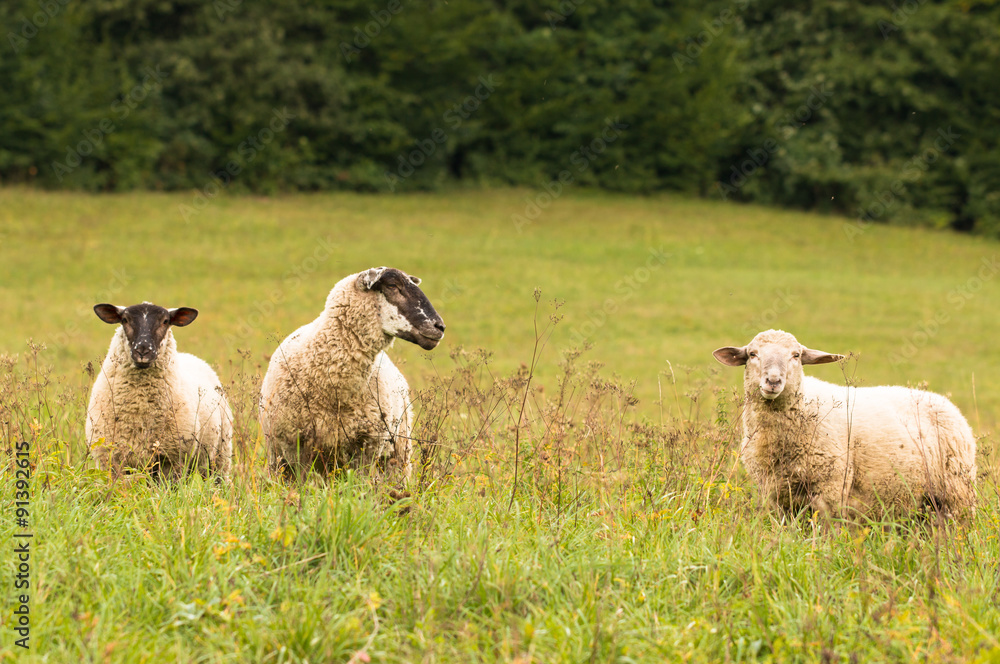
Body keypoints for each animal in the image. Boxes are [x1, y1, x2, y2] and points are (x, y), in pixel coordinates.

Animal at [85, 302, 233, 479]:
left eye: (165, 321)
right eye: (124, 320)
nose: (143, 351)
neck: (139, 406)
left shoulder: (172, 460)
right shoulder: (109, 460)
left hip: (220, 455)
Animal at [713, 329, 977, 520]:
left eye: (796, 355)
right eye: (752, 354)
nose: (773, 381)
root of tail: (943, 401)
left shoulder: (832, 487)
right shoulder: (774, 493)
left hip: (957, 492)